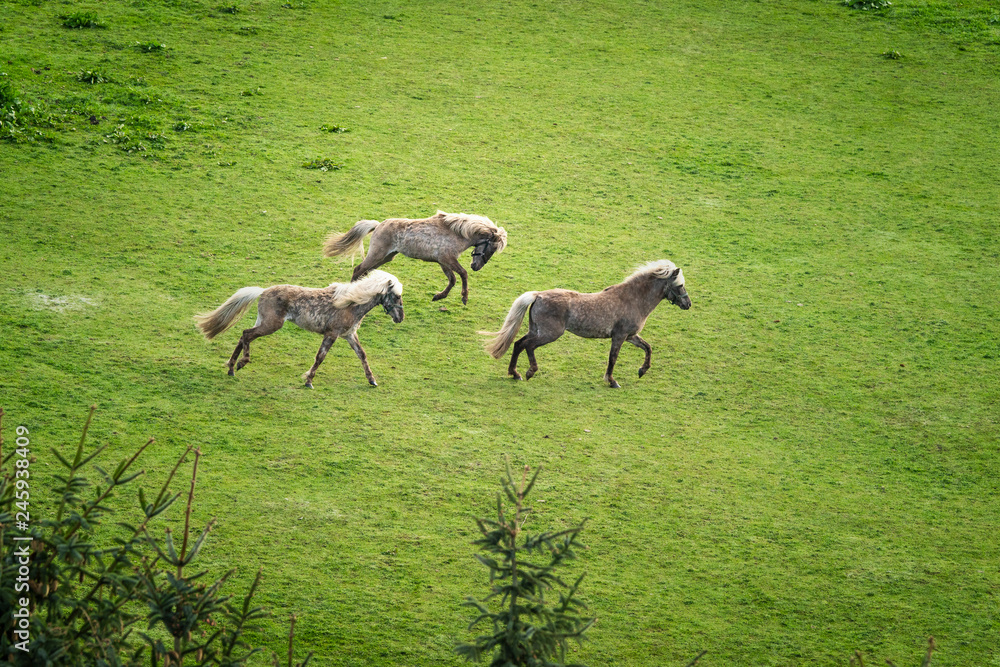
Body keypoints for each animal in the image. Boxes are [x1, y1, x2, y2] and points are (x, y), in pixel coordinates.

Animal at [194, 270, 404, 388]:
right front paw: (308, 381)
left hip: (262, 322)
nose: (400, 318)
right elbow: (320, 357)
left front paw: (372, 380)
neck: (350, 304)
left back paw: (231, 368)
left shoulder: (349, 335)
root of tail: (263, 291)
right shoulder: (332, 334)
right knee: (246, 335)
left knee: (243, 337)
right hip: (271, 325)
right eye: (395, 296)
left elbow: (362, 355)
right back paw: (241, 363)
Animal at [323, 210, 507, 305]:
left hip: (386, 257)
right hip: (377, 254)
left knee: (364, 271)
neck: (456, 233)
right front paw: (464, 297)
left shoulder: (443, 262)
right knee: (358, 269)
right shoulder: (448, 259)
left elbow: (452, 279)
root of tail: (378, 225)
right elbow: (462, 274)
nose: (476, 266)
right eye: (491, 249)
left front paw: (439, 296)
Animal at [481, 260, 691, 388]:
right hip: (550, 334)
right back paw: (529, 372)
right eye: (680, 285)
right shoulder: (619, 336)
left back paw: (514, 373)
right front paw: (612, 381)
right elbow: (613, 358)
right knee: (528, 346)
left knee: (518, 343)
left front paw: (642, 371)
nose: (688, 304)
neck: (633, 300)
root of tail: (538, 295)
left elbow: (648, 347)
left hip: (537, 330)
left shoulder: (630, 336)